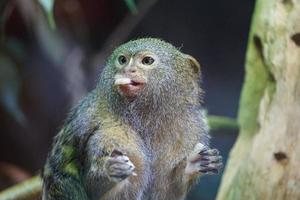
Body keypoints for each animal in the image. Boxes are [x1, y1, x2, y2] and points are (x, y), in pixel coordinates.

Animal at [42, 38, 223, 200]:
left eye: (147, 61)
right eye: (122, 60)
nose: (128, 70)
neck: (145, 117)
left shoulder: (192, 130)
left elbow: (167, 193)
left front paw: (193, 164)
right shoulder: (86, 115)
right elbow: (60, 172)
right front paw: (108, 170)